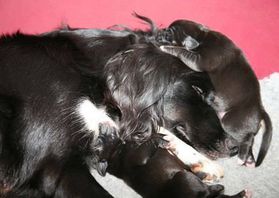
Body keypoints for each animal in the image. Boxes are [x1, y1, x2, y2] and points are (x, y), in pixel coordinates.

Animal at [160, 19, 274, 167]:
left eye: (170, 33)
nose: (161, 32)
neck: (203, 36)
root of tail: (260, 109)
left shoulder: (198, 61)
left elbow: (182, 51)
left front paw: (165, 47)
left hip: (230, 121)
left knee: (248, 138)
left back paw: (242, 157)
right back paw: (248, 158)